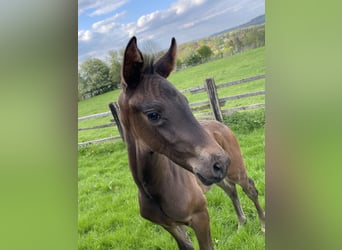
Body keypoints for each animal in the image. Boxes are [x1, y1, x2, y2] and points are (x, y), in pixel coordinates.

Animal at [117, 36, 264, 249]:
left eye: (186, 102)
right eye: (152, 114)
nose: (220, 162)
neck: (153, 190)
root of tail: (220, 124)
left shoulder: (200, 216)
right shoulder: (170, 226)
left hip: (236, 169)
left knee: (250, 188)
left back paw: (263, 224)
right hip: (214, 178)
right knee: (230, 189)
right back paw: (241, 222)